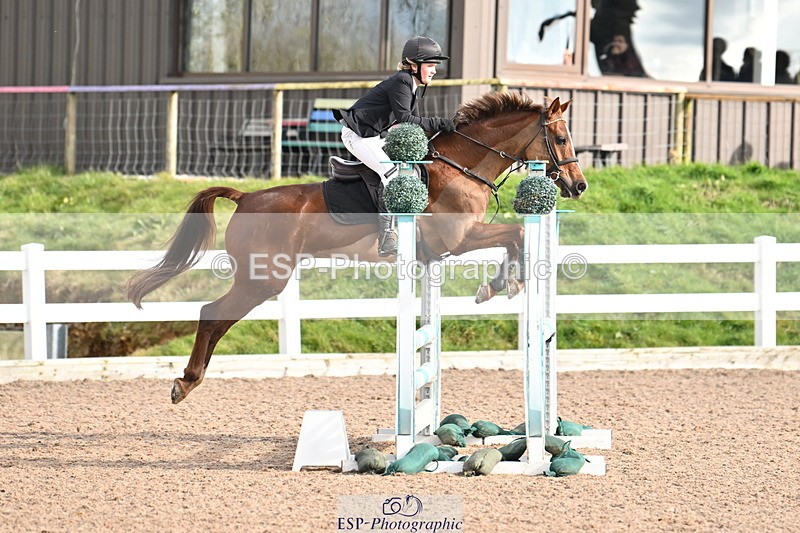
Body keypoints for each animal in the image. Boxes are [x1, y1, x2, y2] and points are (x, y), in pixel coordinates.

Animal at [126, 92, 587, 404]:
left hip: (261, 280)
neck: (462, 167)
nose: (579, 186)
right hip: (264, 279)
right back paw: (185, 382)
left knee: (218, 318)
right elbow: (515, 235)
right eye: (561, 138)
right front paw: (500, 286)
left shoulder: (451, 246)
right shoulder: (459, 239)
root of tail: (245, 197)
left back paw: (188, 380)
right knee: (211, 314)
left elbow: (514, 238)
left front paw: (498, 285)